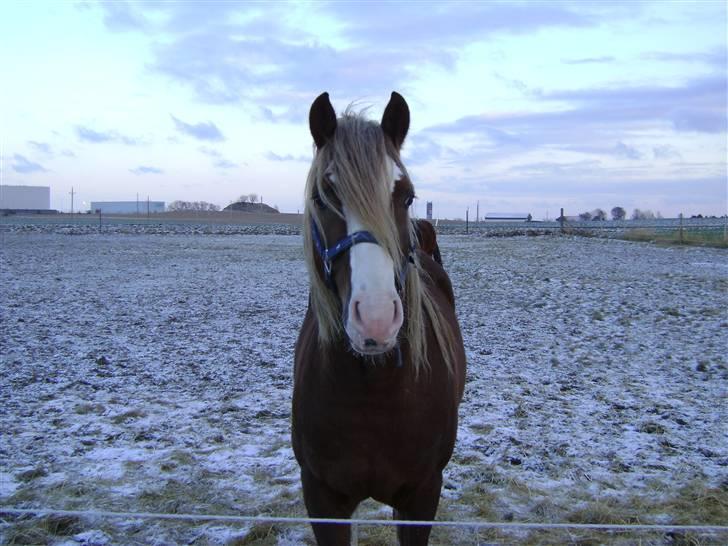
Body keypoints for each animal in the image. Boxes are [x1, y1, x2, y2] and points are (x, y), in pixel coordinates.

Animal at [292, 92, 466, 544]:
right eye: (322, 197)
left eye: (406, 196)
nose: (375, 319)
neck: (373, 392)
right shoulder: (321, 499)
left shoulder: (421, 496)